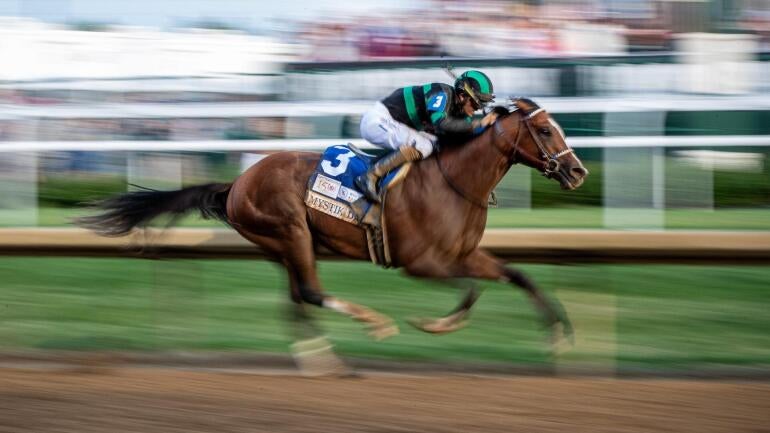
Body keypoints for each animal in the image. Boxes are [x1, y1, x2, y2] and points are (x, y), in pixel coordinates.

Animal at [78, 97, 588, 353]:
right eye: (546, 130)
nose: (578, 171)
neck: (454, 180)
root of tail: (238, 181)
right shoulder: (421, 263)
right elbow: (472, 290)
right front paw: (436, 324)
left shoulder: (465, 255)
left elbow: (516, 275)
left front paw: (559, 332)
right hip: (290, 231)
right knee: (309, 292)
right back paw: (373, 325)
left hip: (282, 245)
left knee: (294, 300)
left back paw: (324, 362)